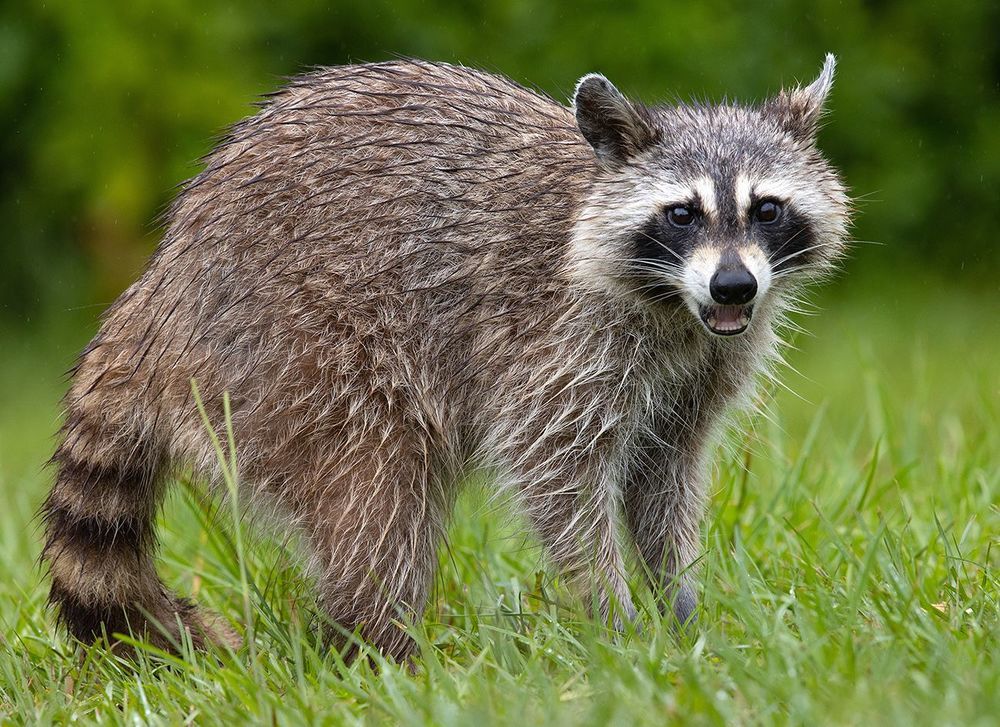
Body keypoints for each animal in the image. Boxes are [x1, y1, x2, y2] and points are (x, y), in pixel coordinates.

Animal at [41, 56, 849, 660]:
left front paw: (677, 605)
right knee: (380, 494)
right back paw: (382, 647)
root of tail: (162, 284)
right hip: (291, 355)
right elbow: (555, 470)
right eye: (683, 214)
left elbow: (663, 479)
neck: (677, 308)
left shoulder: (702, 368)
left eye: (766, 208)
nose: (734, 284)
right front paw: (612, 615)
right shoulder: (559, 341)